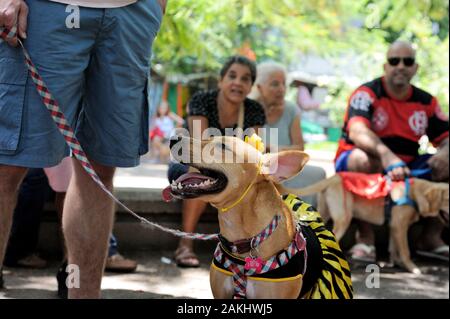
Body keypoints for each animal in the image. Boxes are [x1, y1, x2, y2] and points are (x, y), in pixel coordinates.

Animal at [290, 172, 448, 276]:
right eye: (448, 199)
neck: (414, 193)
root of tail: (333, 177)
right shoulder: (400, 226)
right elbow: (405, 251)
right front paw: (412, 268)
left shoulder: (394, 227)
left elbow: (394, 248)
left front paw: (397, 263)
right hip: (344, 217)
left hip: (322, 213)